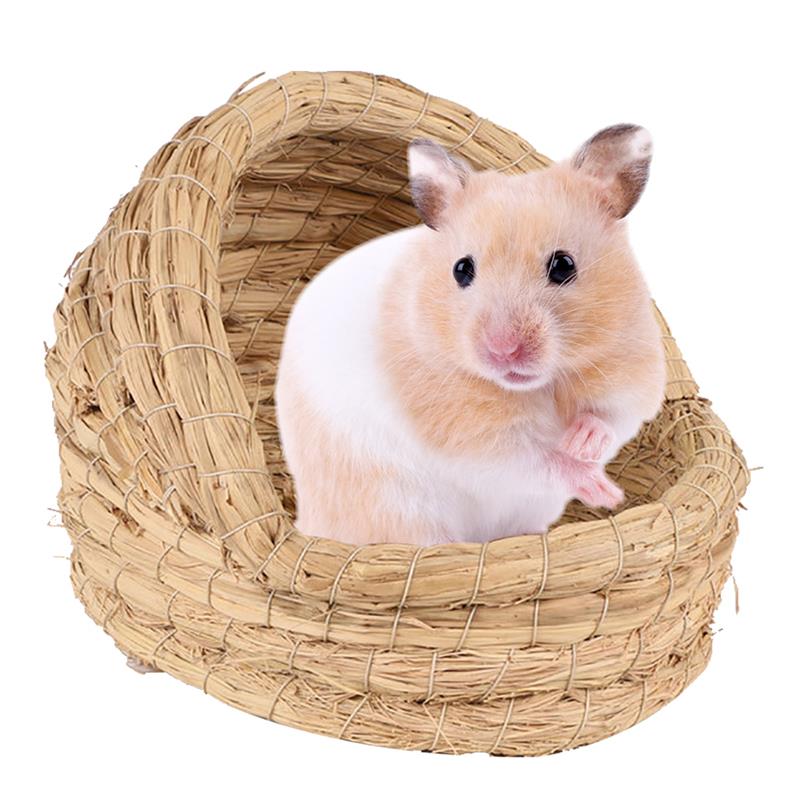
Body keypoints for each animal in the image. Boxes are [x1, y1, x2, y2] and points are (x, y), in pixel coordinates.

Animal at [275, 124, 666, 545]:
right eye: (461, 269)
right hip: (399, 506)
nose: (503, 350)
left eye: (564, 265)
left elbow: (610, 418)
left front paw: (582, 442)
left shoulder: (630, 375)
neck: (536, 386)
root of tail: (307, 520)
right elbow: (535, 460)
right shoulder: (472, 440)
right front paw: (603, 490)